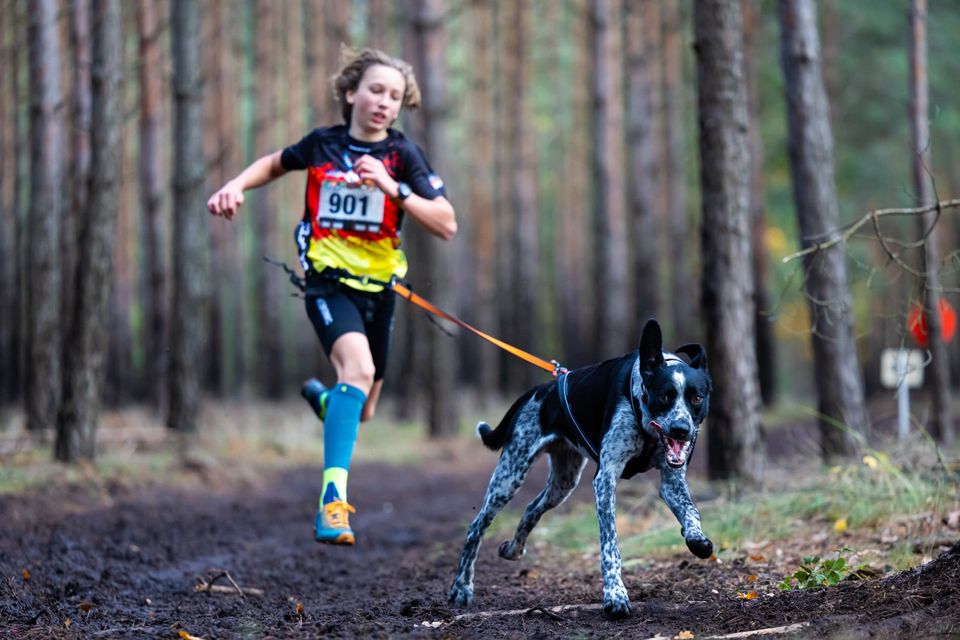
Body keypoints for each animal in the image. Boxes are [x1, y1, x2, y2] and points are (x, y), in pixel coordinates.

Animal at [450, 320, 712, 620]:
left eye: (696, 398)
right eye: (665, 396)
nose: (681, 430)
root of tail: (539, 389)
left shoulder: (671, 481)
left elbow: (691, 511)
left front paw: (696, 538)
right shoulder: (606, 480)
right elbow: (610, 545)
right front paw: (615, 595)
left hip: (563, 482)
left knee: (531, 508)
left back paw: (514, 548)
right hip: (509, 476)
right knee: (475, 528)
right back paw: (461, 587)